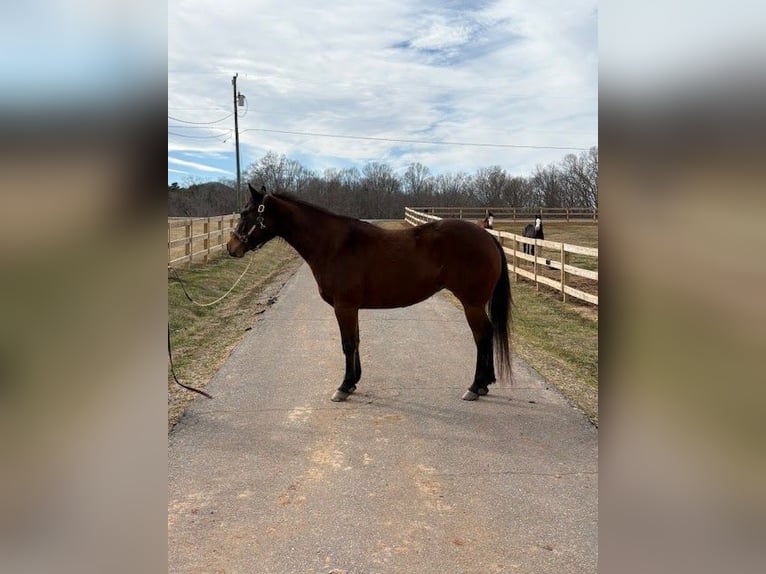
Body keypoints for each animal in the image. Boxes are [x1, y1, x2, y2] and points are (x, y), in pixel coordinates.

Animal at [227, 183, 512, 402]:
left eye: (246, 212)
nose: (231, 247)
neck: (334, 245)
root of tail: (487, 236)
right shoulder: (351, 307)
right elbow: (356, 341)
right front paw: (353, 382)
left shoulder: (344, 307)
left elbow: (347, 344)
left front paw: (343, 387)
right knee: (487, 335)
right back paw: (485, 383)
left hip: (472, 303)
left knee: (482, 336)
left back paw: (475, 386)